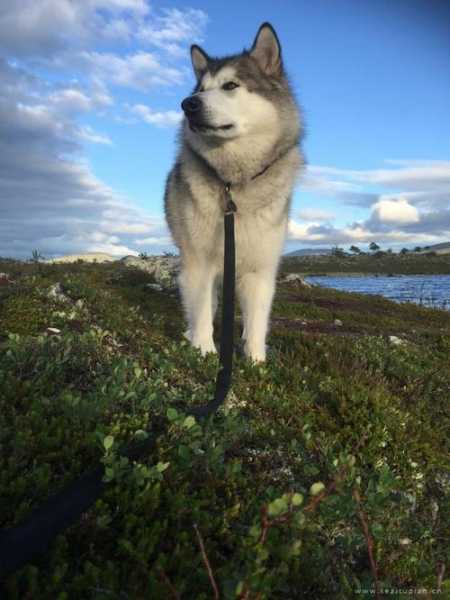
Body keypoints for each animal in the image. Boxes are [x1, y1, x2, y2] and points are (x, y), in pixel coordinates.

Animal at [163, 22, 304, 360]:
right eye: (200, 89)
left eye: (230, 85)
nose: (188, 104)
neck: (234, 182)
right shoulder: (199, 261)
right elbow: (202, 309)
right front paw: (203, 349)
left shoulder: (260, 269)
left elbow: (256, 322)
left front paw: (255, 360)